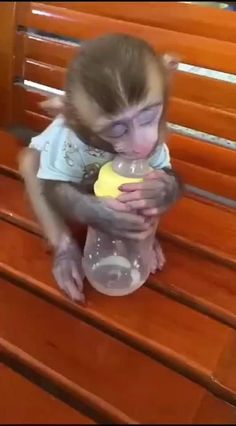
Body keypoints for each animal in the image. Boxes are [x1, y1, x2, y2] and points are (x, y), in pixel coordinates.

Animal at [18, 35, 183, 304]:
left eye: (147, 116)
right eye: (117, 130)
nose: (140, 145)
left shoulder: (155, 143)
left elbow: (163, 171)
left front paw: (162, 191)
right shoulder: (67, 140)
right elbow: (54, 187)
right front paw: (105, 216)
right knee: (32, 163)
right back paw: (67, 255)